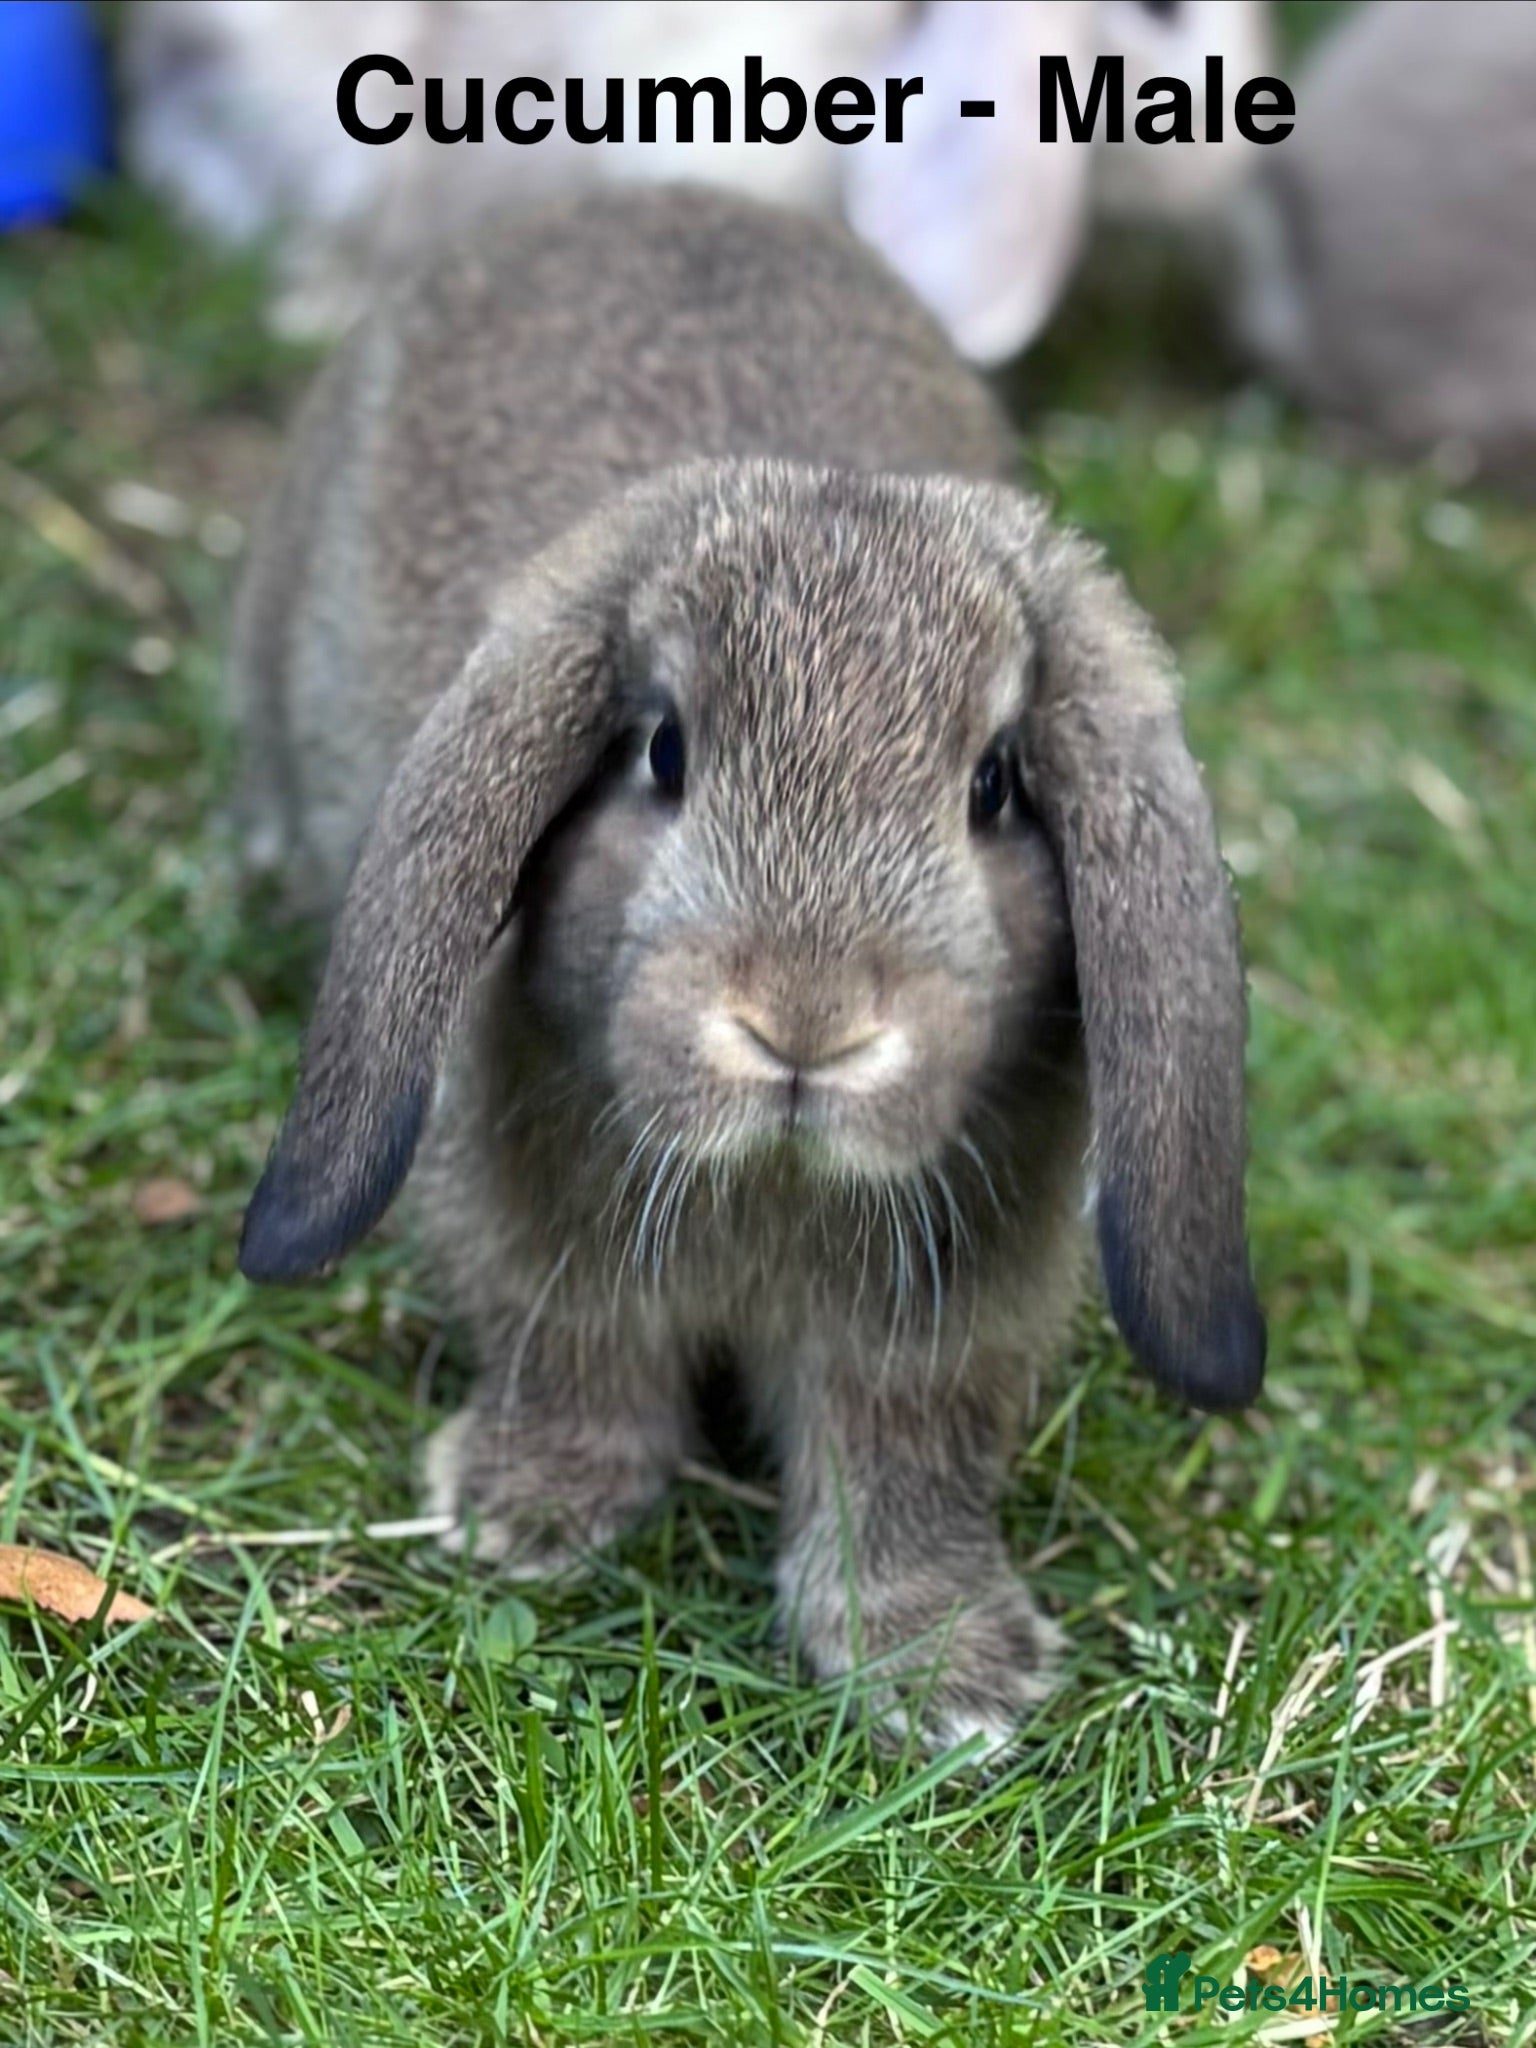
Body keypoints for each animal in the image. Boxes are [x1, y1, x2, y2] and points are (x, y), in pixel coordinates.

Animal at [233, 186, 1265, 1747]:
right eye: (663, 751)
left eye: (994, 788)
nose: (805, 1024)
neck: (771, 1185)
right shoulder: (534, 1249)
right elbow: (571, 1354)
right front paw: (525, 1515)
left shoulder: (934, 1344)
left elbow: (903, 1466)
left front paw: (944, 1676)